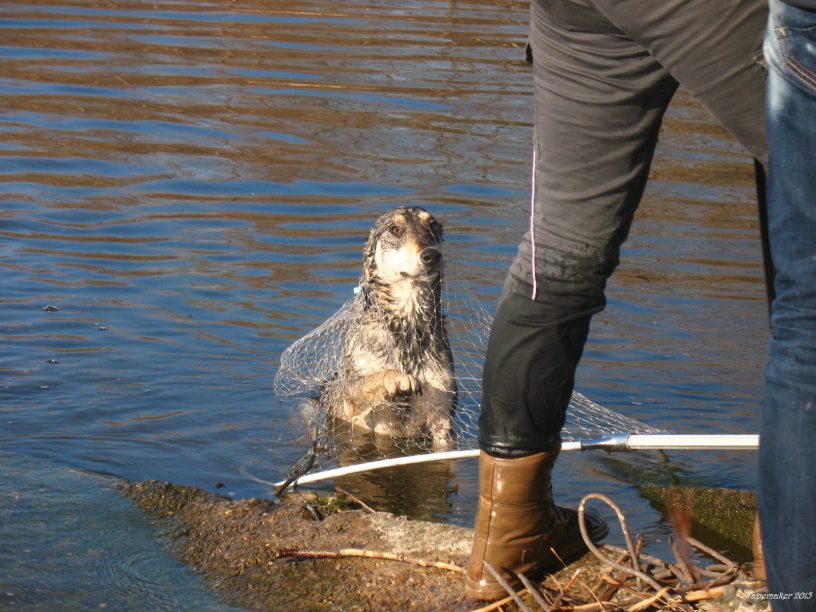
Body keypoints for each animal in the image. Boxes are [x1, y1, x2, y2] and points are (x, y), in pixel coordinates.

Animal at [320, 208, 460, 448]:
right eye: (395, 229)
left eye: (432, 226)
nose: (432, 255)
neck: (408, 328)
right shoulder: (351, 399)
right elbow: (374, 377)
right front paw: (398, 378)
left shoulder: (442, 418)